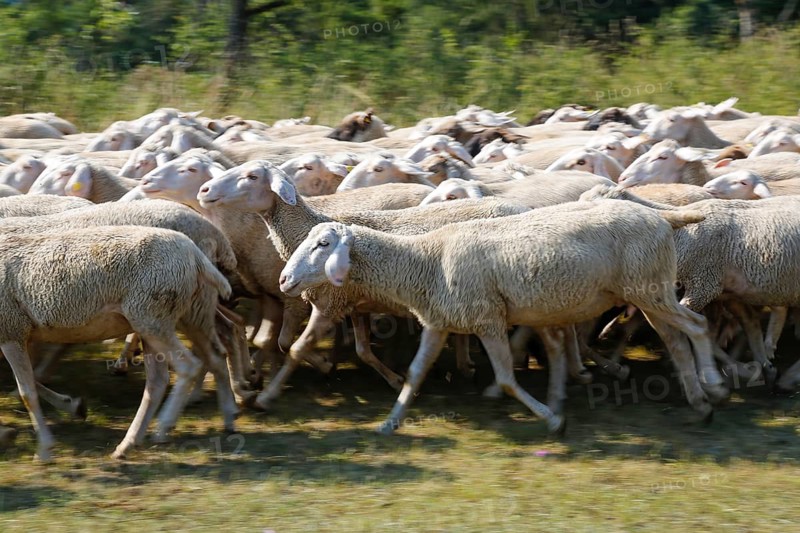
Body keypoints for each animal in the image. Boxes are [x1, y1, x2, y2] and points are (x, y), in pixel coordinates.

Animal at [0, 225, 234, 461]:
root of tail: (195, 253)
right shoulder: (17, 332)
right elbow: (29, 383)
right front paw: (72, 406)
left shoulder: (11, 331)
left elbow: (27, 392)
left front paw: (45, 449)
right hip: (175, 317)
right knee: (175, 373)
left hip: (153, 317)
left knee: (188, 367)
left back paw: (163, 426)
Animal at [277, 200, 726, 435]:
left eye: (323, 244)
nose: (283, 280)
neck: (426, 261)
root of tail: (664, 216)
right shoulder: (438, 322)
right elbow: (416, 373)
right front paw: (390, 422)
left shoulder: (488, 320)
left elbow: (508, 378)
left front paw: (552, 419)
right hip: (648, 291)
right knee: (676, 341)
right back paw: (700, 403)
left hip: (649, 289)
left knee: (699, 326)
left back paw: (715, 386)